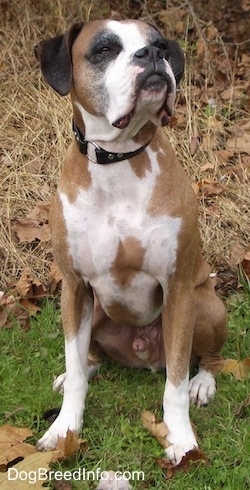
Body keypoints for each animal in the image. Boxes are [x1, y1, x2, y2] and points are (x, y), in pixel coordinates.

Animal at [34, 19, 227, 466]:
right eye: (104, 49)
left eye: (159, 45)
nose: (151, 55)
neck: (118, 162)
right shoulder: (74, 288)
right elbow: (76, 373)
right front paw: (64, 428)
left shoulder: (177, 290)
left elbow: (175, 384)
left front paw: (181, 439)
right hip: (93, 312)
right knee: (86, 357)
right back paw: (77, 370)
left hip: (205, 305)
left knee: (207, 358)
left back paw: (204, 382)